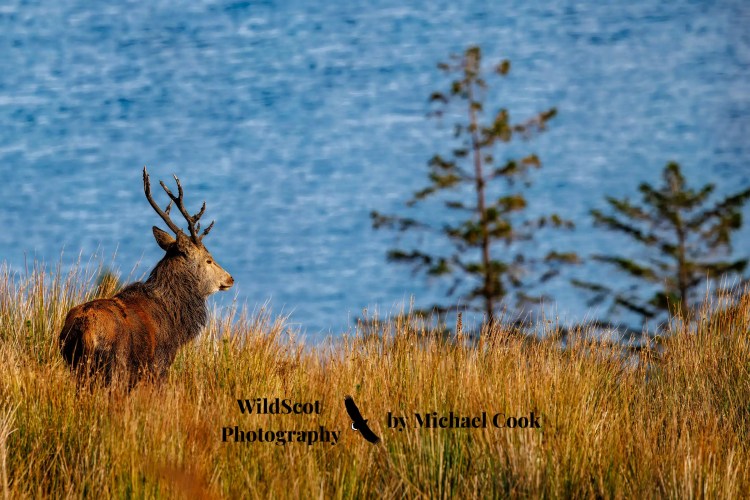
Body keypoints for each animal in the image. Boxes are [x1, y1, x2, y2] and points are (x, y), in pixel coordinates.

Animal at [59, 167, 234, 385]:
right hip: (116, 367)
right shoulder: (160, 362)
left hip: (76, 366)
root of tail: (85, 331)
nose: (230, 278)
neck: (175, 320)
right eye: (209, 260)